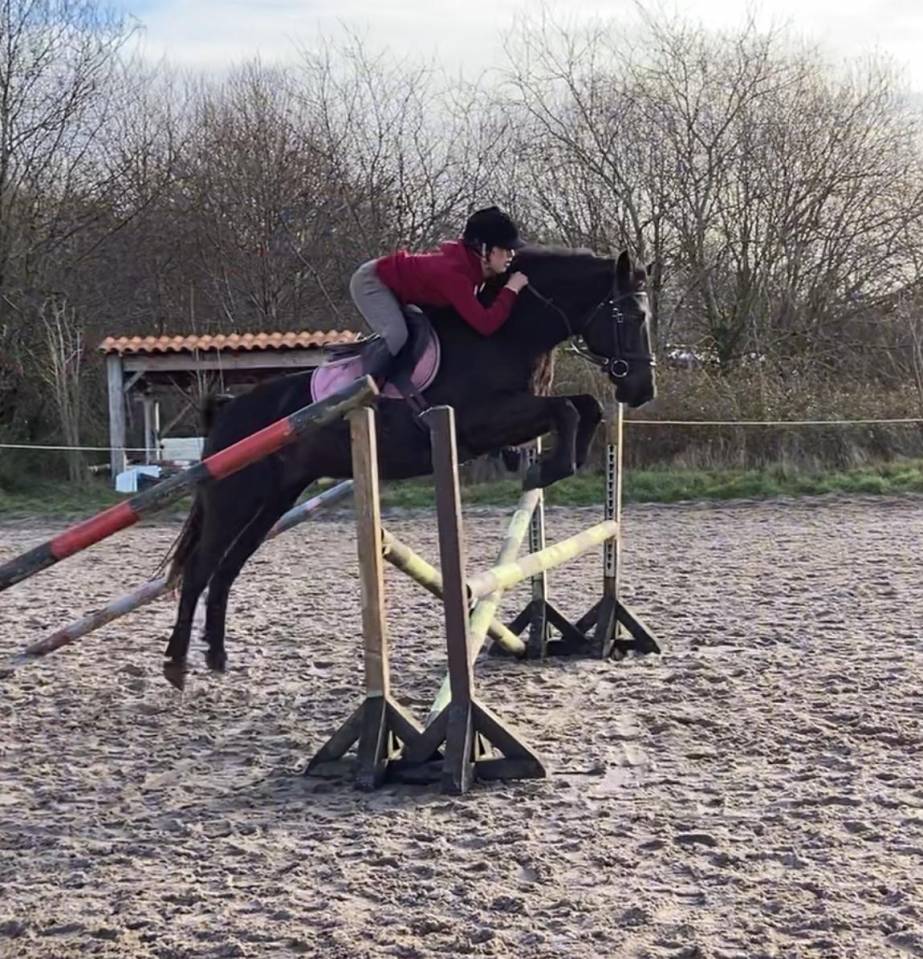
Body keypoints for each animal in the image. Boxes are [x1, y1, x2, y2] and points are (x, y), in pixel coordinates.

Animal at [161, 247, 656, 686]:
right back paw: (177, 665)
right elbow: (569, 410)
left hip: (274, 502)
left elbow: (586, 406)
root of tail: (227, 410)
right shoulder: (482, 419)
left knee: (227, 568)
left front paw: (552, 463)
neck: (506, 334)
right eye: (631, 318)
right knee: (200, 568)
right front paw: (546, 469)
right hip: (234, 498)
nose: (641, 391)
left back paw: (217, 657)